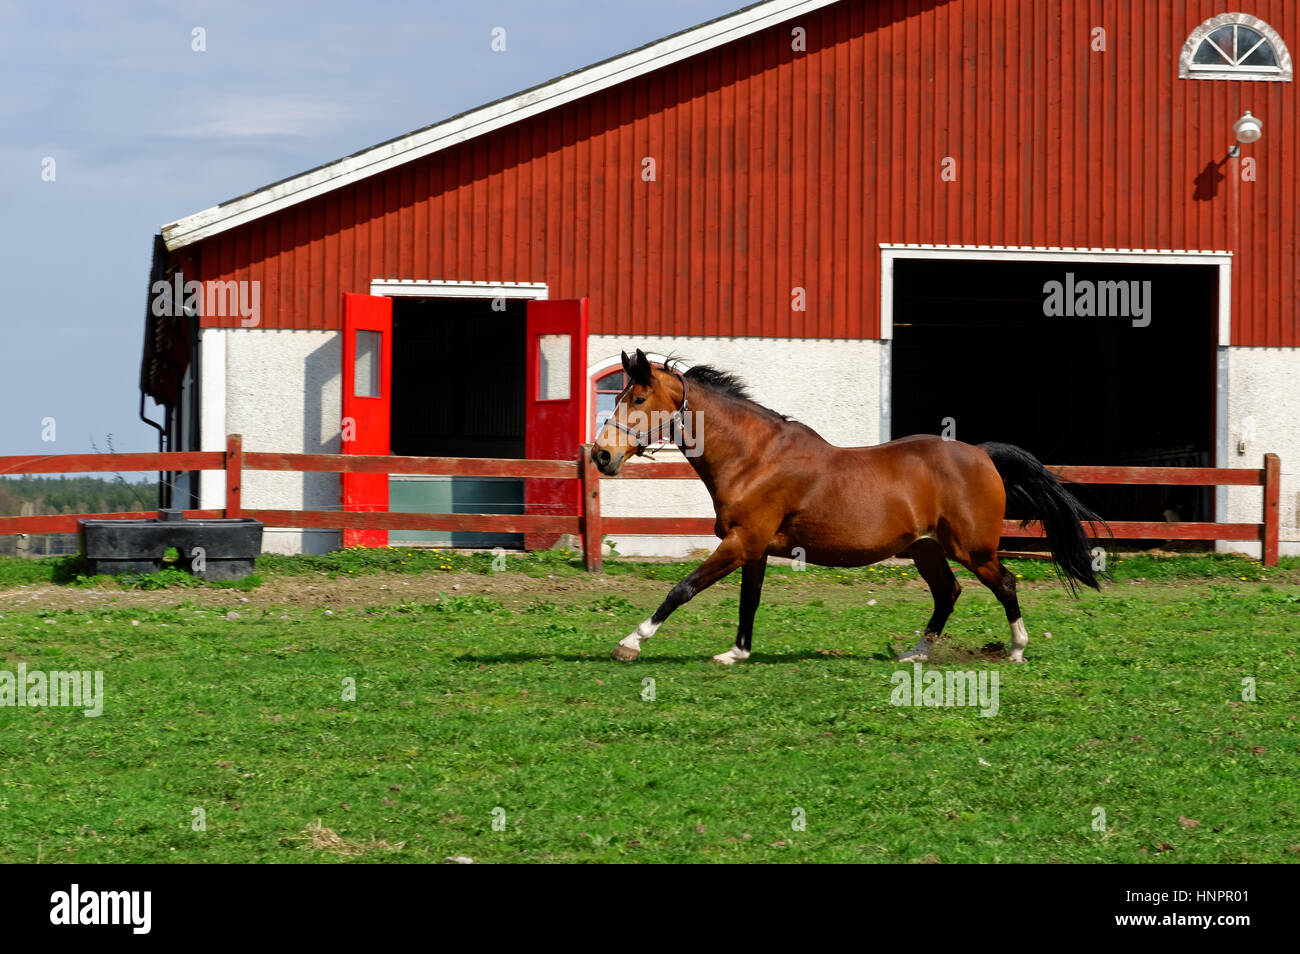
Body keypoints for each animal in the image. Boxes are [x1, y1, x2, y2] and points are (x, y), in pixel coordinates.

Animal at [592, 348, 1107, 665]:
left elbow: (682, 589)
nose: (601, 455)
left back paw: (1017, 649)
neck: (754, 458)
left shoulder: (741, 543)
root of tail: (981, 454)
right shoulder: (753, 549)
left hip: (972, 549)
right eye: (617, 395)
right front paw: (736, 653)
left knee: (1005, 583)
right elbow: (748, 601)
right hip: (925, 549)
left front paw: (629, 644)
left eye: (638, 397)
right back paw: (916, 653)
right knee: (949, 592)